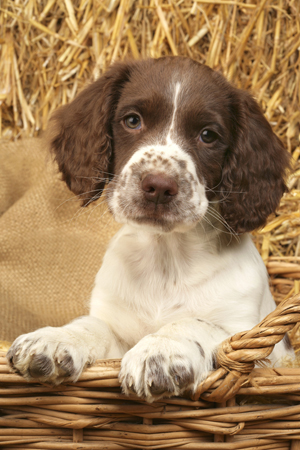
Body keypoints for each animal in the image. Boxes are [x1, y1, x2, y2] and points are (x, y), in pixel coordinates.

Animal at [7, 55, 292, 400]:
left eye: (208, 135)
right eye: (132, 120)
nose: (158, 186)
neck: (165, 256)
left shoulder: (250, 340)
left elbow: (194, 323)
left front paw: (161, 352)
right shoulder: (116, 328)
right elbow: (92, 325)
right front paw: (55, 339)